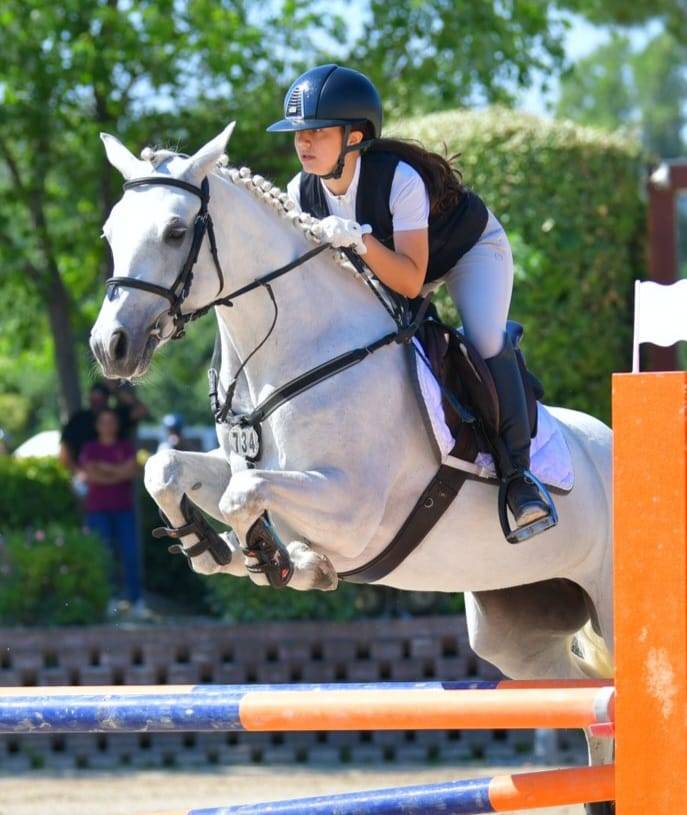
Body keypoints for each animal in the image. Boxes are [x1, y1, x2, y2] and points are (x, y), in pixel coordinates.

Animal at [91, 125, 614, 812]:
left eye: (177, 231)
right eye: (110, 231)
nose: (111, 347)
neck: (292, 353)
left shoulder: (354, 511)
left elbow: (244, 495)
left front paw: (285, 561)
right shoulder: (245, 466)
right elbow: (167, 469)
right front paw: (213, 548)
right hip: (518, 626)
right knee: (589, 702)